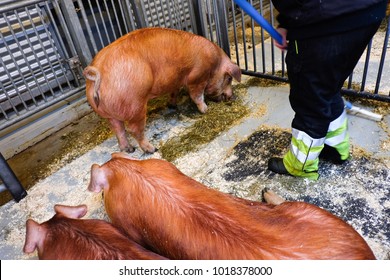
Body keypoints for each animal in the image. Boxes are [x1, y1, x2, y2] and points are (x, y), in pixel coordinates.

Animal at [83, 27, 241, 154]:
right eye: (229, 79)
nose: (232, 97)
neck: (214, 64)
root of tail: (97, 72)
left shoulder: (175, 81)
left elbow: (174, 92)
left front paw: (172, 105)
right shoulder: (197, 77)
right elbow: (197, 95)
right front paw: (205, 110)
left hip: (109, 114)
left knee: (118, 129)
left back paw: (129, 149)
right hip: (135, 105)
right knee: (134, 129)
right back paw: (152, 149)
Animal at [87, 153, 374, 260]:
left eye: (102, 195)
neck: (130, 173)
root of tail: (367, 256)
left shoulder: (129, 229)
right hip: (308, 211)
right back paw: (266, 192)